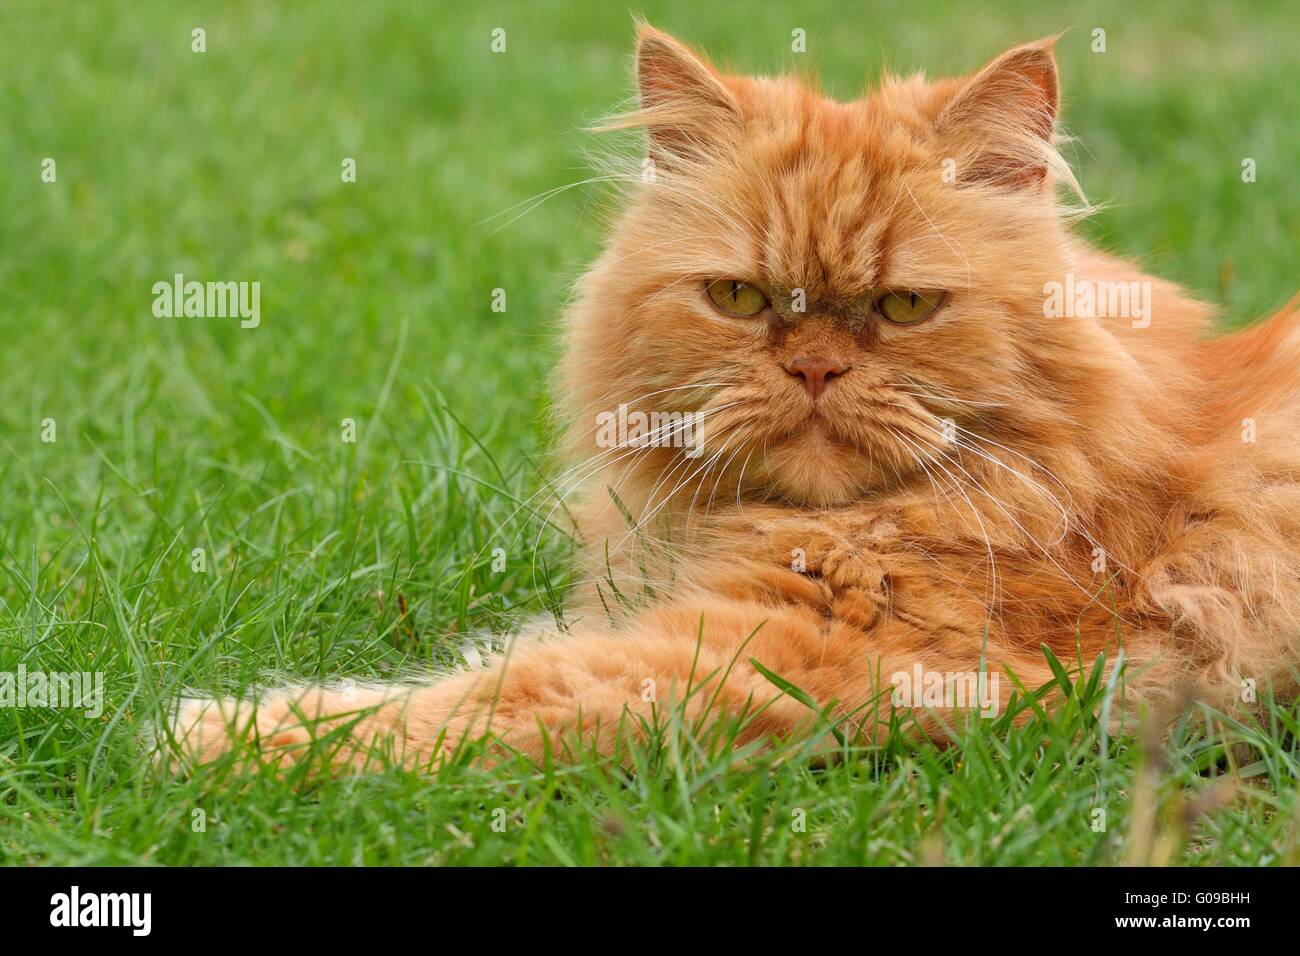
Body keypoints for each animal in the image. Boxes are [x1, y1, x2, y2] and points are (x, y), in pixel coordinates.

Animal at [172, 27, 1300, 770]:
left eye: (903, 306)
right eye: (740, 298)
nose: (813, 368)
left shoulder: (804, 654)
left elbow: (479, 703)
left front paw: (220, 736)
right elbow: (510, 654)